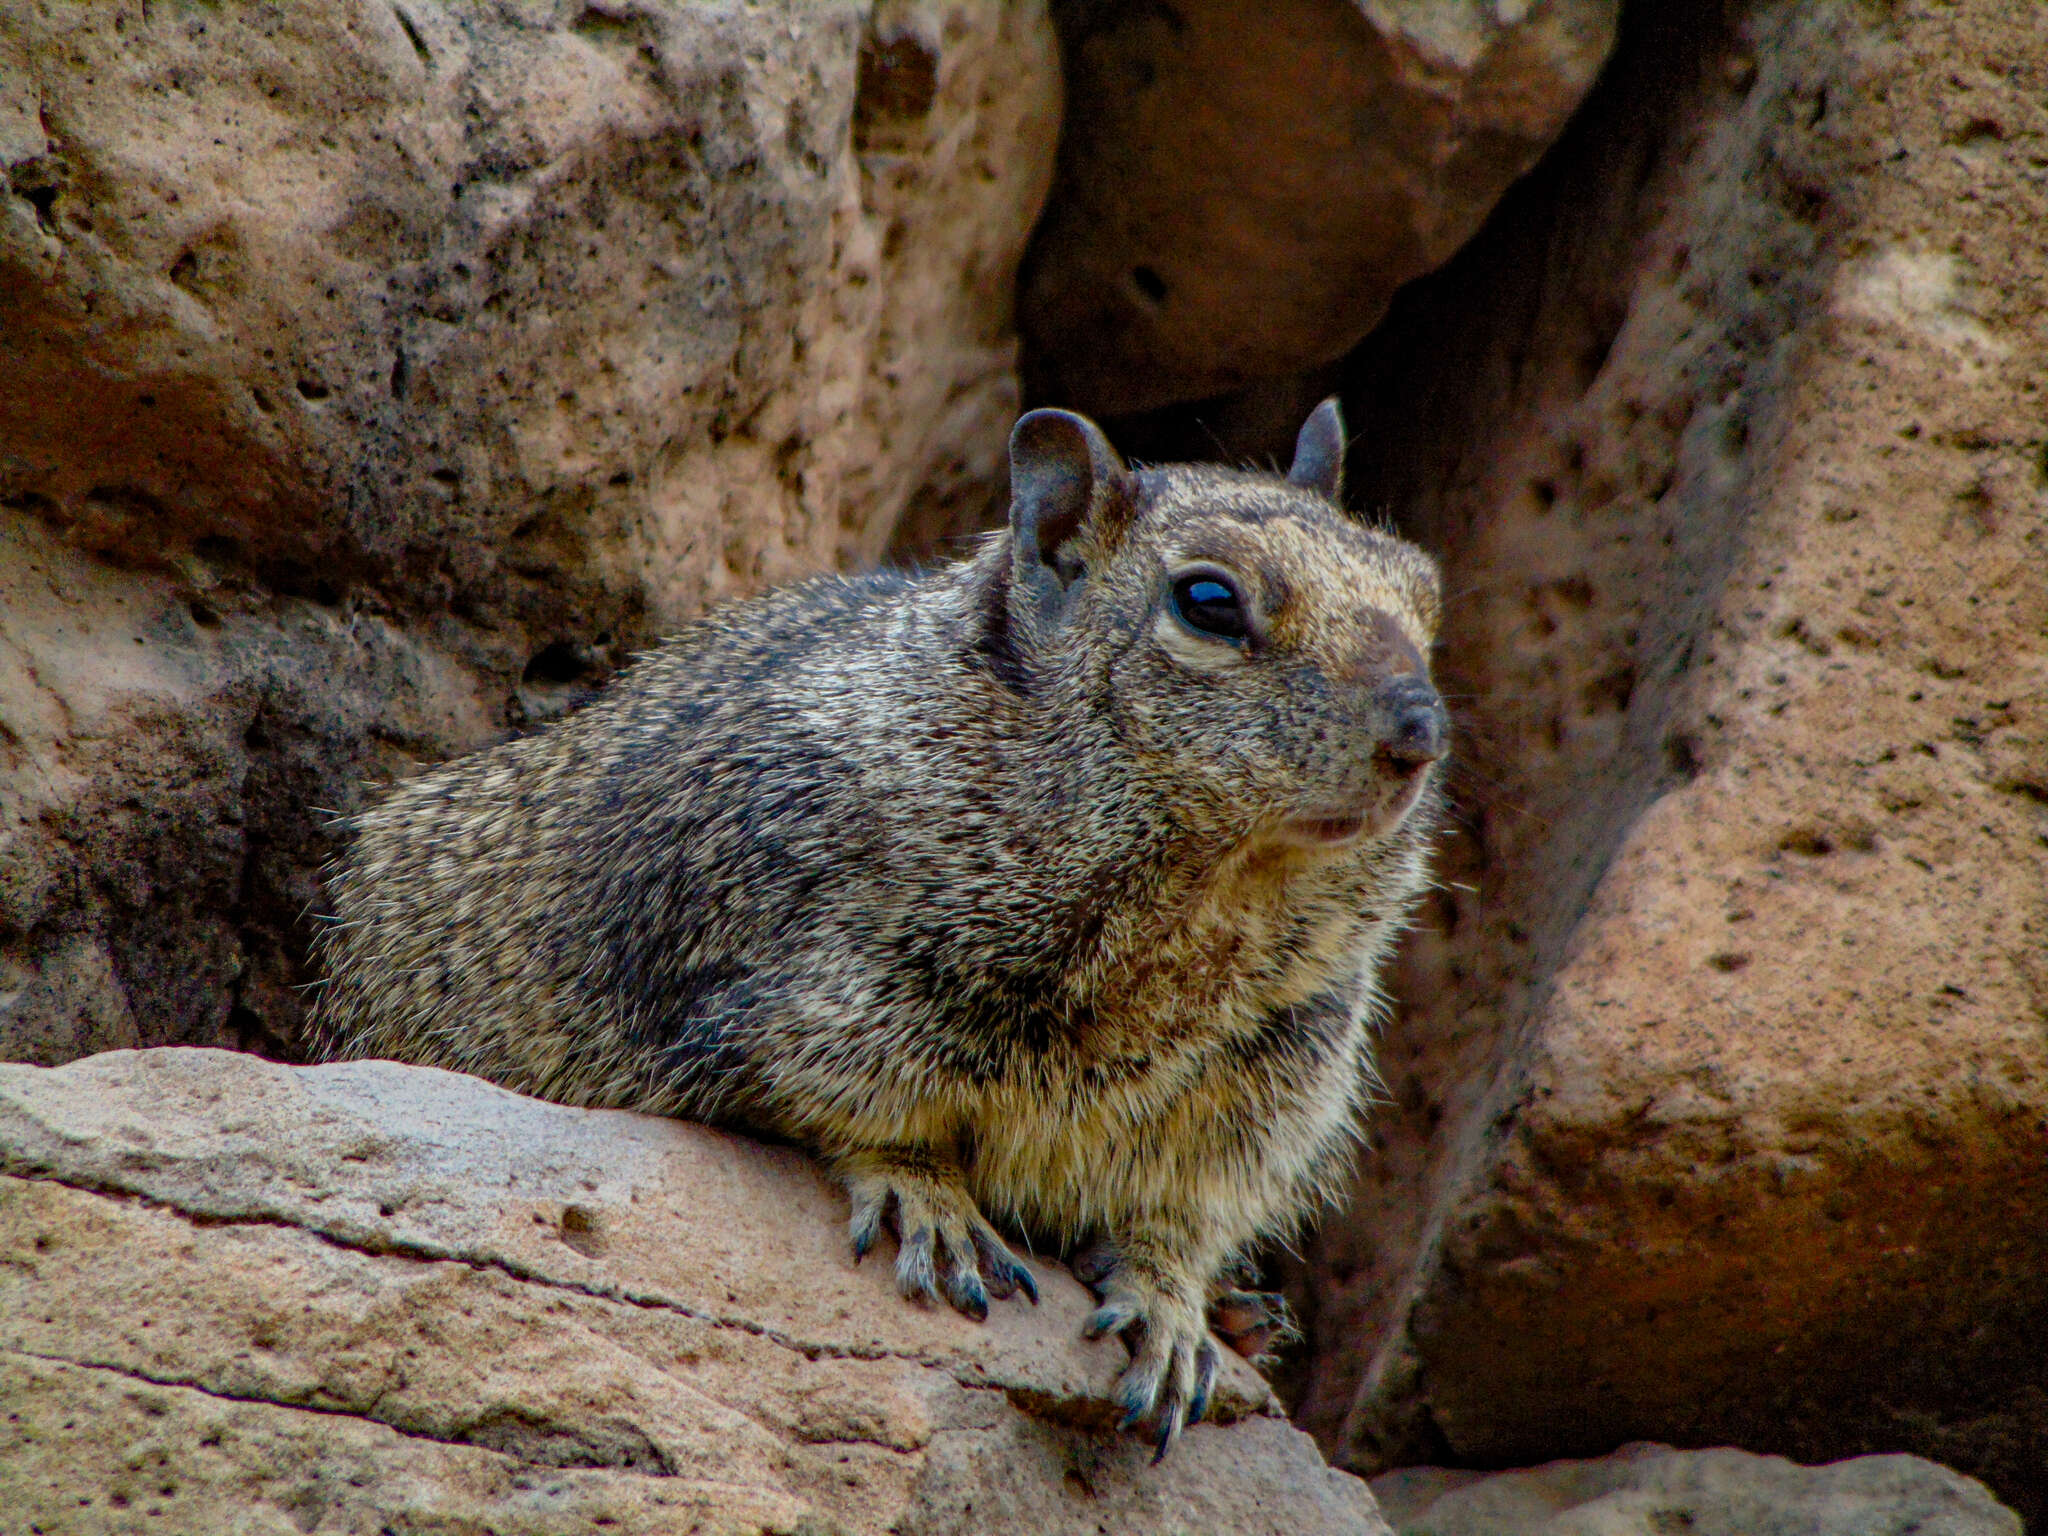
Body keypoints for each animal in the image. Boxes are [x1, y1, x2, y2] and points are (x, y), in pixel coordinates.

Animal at [311, 397, 1449, 1458]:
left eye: (1424, 591)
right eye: (1208, 601)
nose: (1420, 728)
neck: (1212, 895)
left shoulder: (1270, 1081)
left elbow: (1183, 1213)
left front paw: (1173, 1306)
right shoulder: (814, 980)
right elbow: (860, 1111)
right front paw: (930, 1205)